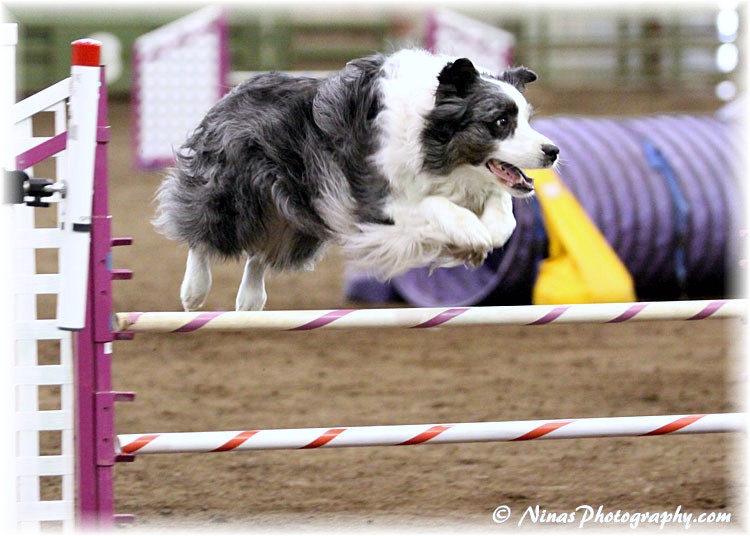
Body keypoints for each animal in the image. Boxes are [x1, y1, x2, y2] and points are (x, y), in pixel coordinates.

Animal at [154, 50, 560, 312]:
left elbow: (504, 209)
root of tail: (234, 92)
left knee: (263, 249)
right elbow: (434, 204)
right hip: (233, 193)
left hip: (299, 216)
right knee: (201, 229)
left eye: (527, 119)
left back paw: (251, 300)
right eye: (500, 122)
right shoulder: (372, 200)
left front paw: (488, 233)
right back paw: (194, 291)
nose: (553, 151)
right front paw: (473, 233)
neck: (431, 142)